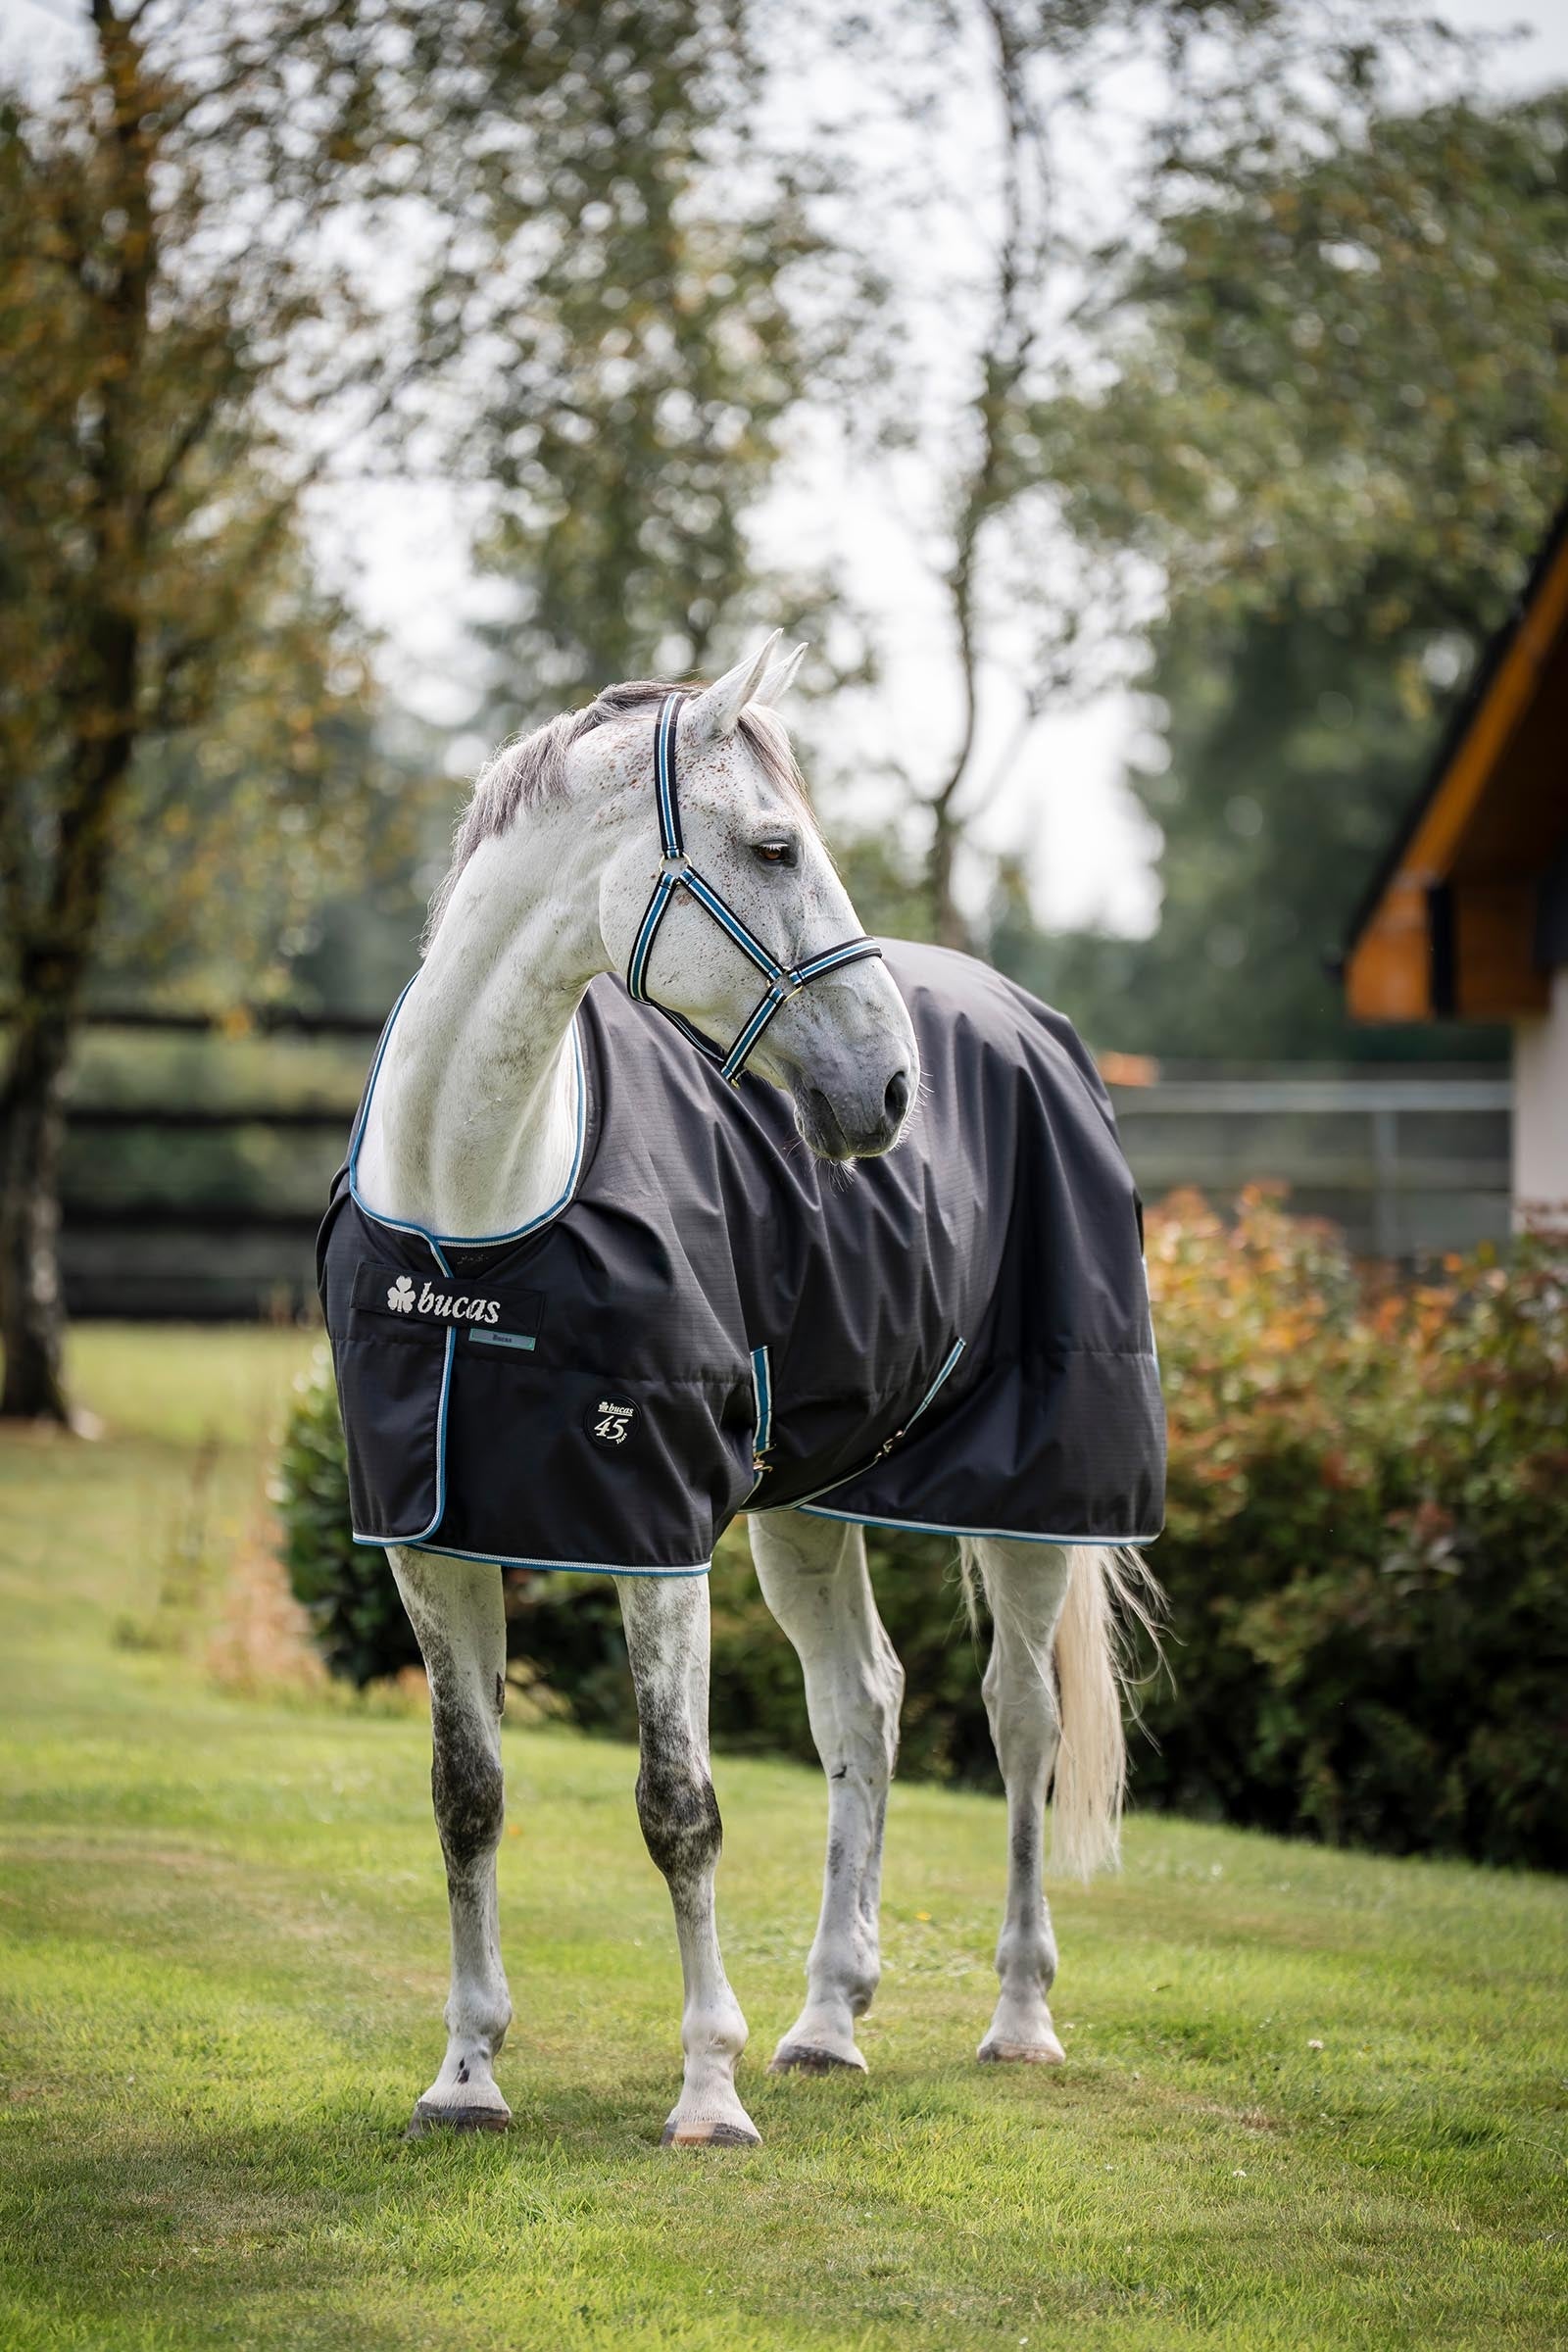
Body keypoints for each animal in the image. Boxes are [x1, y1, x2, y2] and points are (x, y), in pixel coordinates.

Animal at [324, 633, 1164, 2148]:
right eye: (775, 845)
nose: (888, 1090)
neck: (476, 1214)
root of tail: (1034, 1026)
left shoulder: (655, 1540)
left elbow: (680, 1805)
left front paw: (704, 2093)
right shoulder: (431, 1540)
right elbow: (467, 1796)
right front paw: (467, 2075)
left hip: (1033, 1506)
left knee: (1021, 1721)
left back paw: (1018, 2017)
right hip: (809, 1508)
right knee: (865, 1708)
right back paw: (828, 2021)